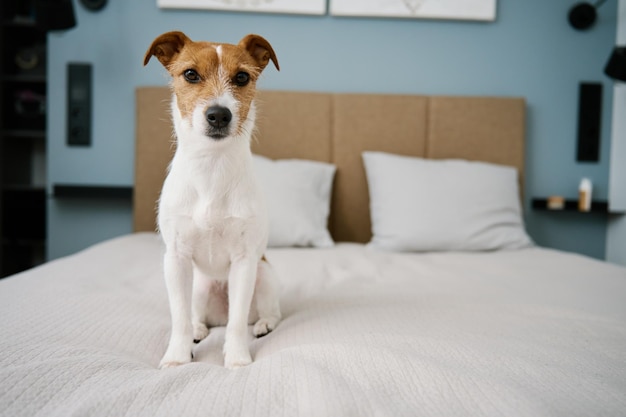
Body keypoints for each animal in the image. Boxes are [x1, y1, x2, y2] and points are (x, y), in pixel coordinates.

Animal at [144, 31, 280, 368]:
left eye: (242, 77)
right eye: (190, 74)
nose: (219, 114)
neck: (212, 167)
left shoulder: (244, 262)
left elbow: (237, 321)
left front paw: (237, 359)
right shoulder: (176, 259)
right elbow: (178, 318)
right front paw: (177, 358)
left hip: (264, 276)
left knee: (260, 315)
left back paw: (263, 324)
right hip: (199, 287)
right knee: (197, 317)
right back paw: (199, 329)